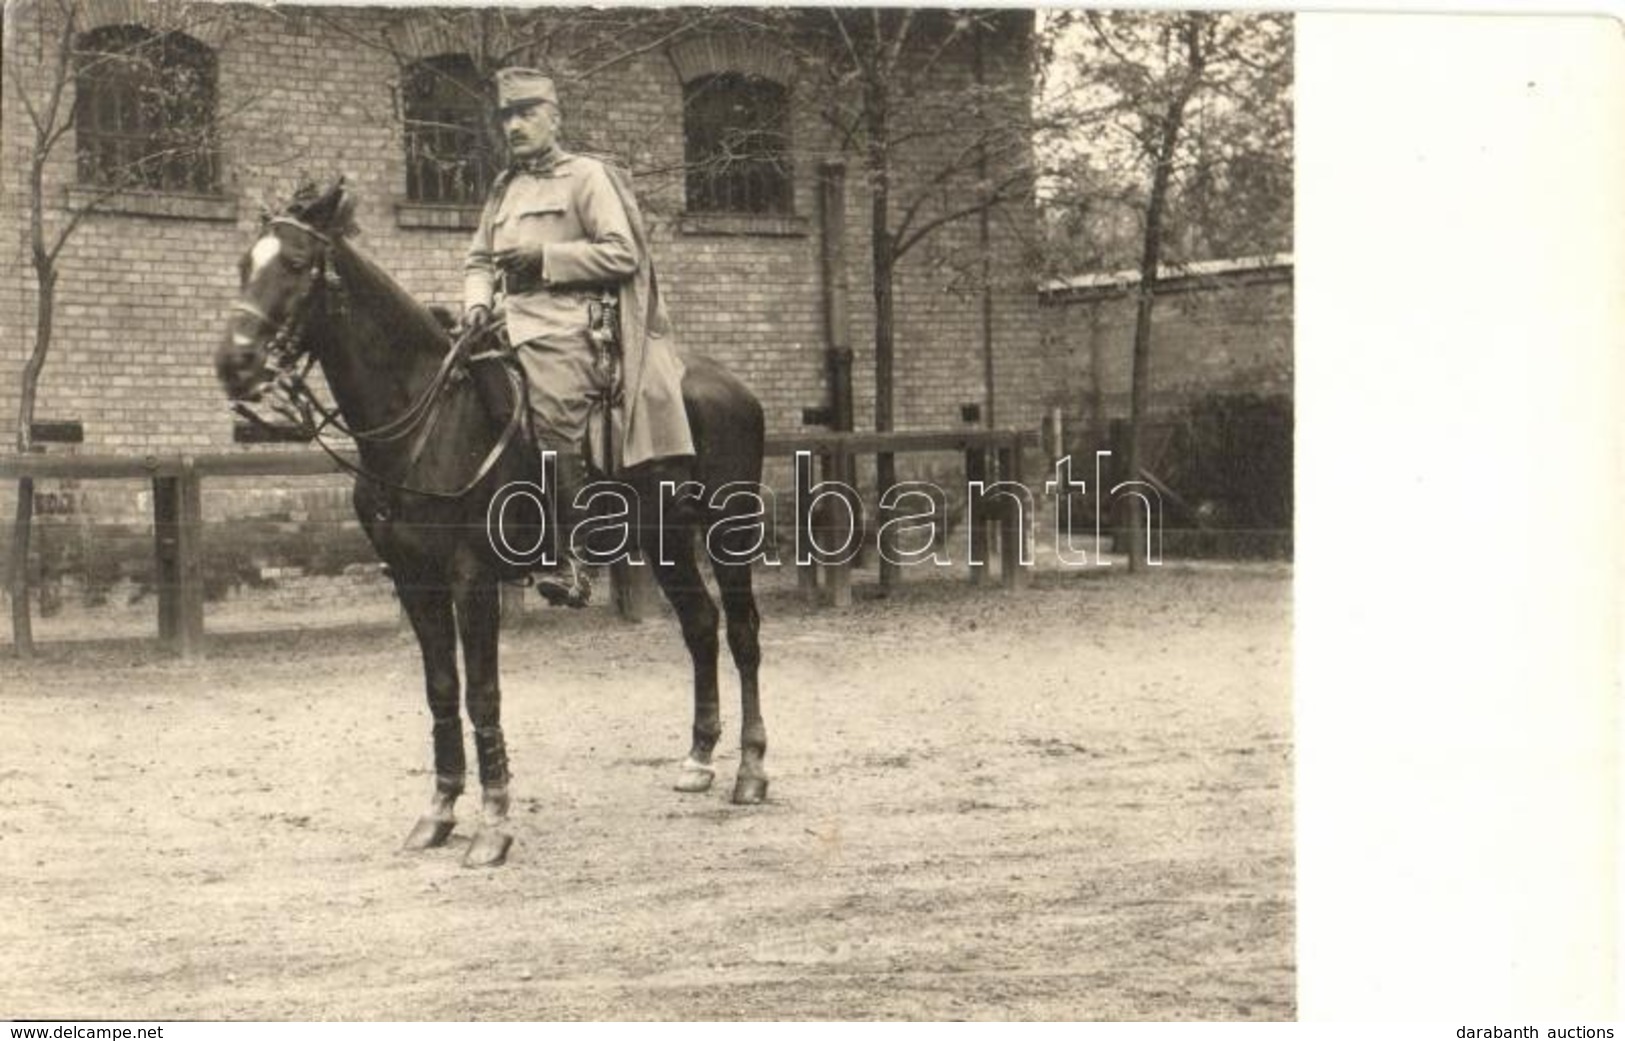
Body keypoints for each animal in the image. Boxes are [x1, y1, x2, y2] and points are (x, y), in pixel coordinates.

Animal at [216, 180, 767, 870]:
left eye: (293, 264)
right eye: (243, 265)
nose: (233, 363)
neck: (425, 422)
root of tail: (733, 387)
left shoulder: (472, 580)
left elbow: (483, 694)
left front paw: (494, 825)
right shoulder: (414, 581)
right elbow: (442, 690)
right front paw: (439, 812)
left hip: (730, 533)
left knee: (742, 633)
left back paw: (750, 771)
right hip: (662, 540)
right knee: (699, 626)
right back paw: (698, 759)